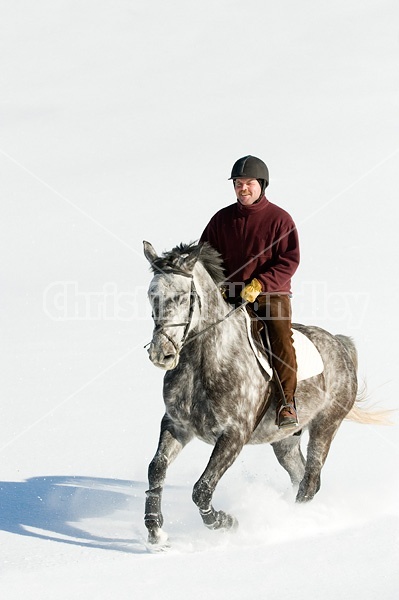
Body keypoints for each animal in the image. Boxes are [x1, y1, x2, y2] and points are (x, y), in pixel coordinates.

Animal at [145, 241, 362, 548]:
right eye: (152, 295)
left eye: (181, 297)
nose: (161, 354)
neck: (204, 362)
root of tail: (340, 345)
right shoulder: (176, 425)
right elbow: (156, 469)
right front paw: (156, 532)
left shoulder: (234, 435)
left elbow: (202, 489)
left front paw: (227, 522)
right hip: (284, 441)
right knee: (301, 475)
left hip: (325, 426)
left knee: (310, 481)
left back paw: (292, 523)